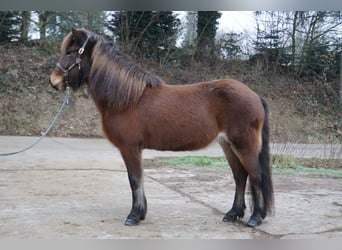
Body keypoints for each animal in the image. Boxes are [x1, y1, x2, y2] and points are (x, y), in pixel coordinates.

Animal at [49, 28, 274, 228]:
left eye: (70, 52)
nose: (54, 81)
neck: (128, 98)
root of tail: (255, 96)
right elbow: (138, 180)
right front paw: (141, 213)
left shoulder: (130, 148)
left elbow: (135, 179)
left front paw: (134, 216)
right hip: (227, 145)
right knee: (240, 177)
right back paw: (232, 214)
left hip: (244, 145)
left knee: (256, 176)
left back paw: (255, 218)